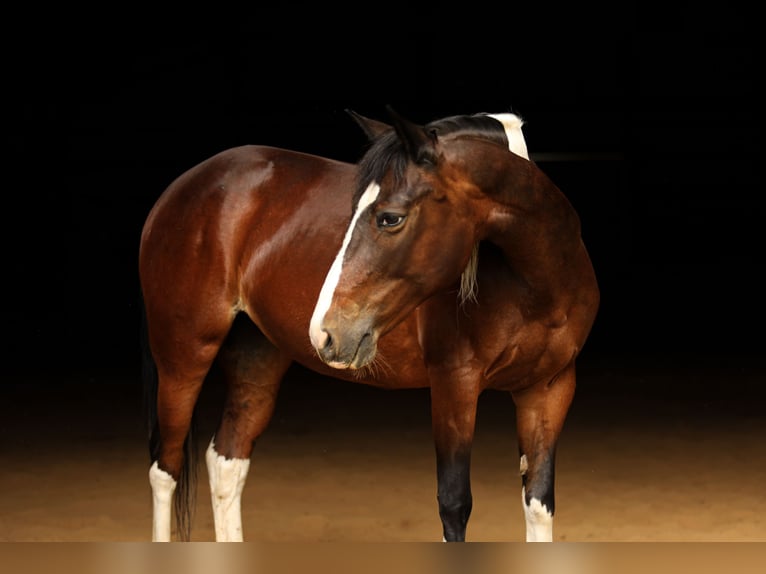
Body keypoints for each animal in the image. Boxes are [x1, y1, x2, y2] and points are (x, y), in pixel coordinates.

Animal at [138, 106, 600, 542]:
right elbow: (454, 505)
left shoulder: (549, 390)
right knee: (165, 468)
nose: (323, 332)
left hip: (258, 358)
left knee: (226, 462)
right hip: (183, 357)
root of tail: (187, 184)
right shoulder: (455, 384)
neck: (535, 284)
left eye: (390, 218)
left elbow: (538, 505)